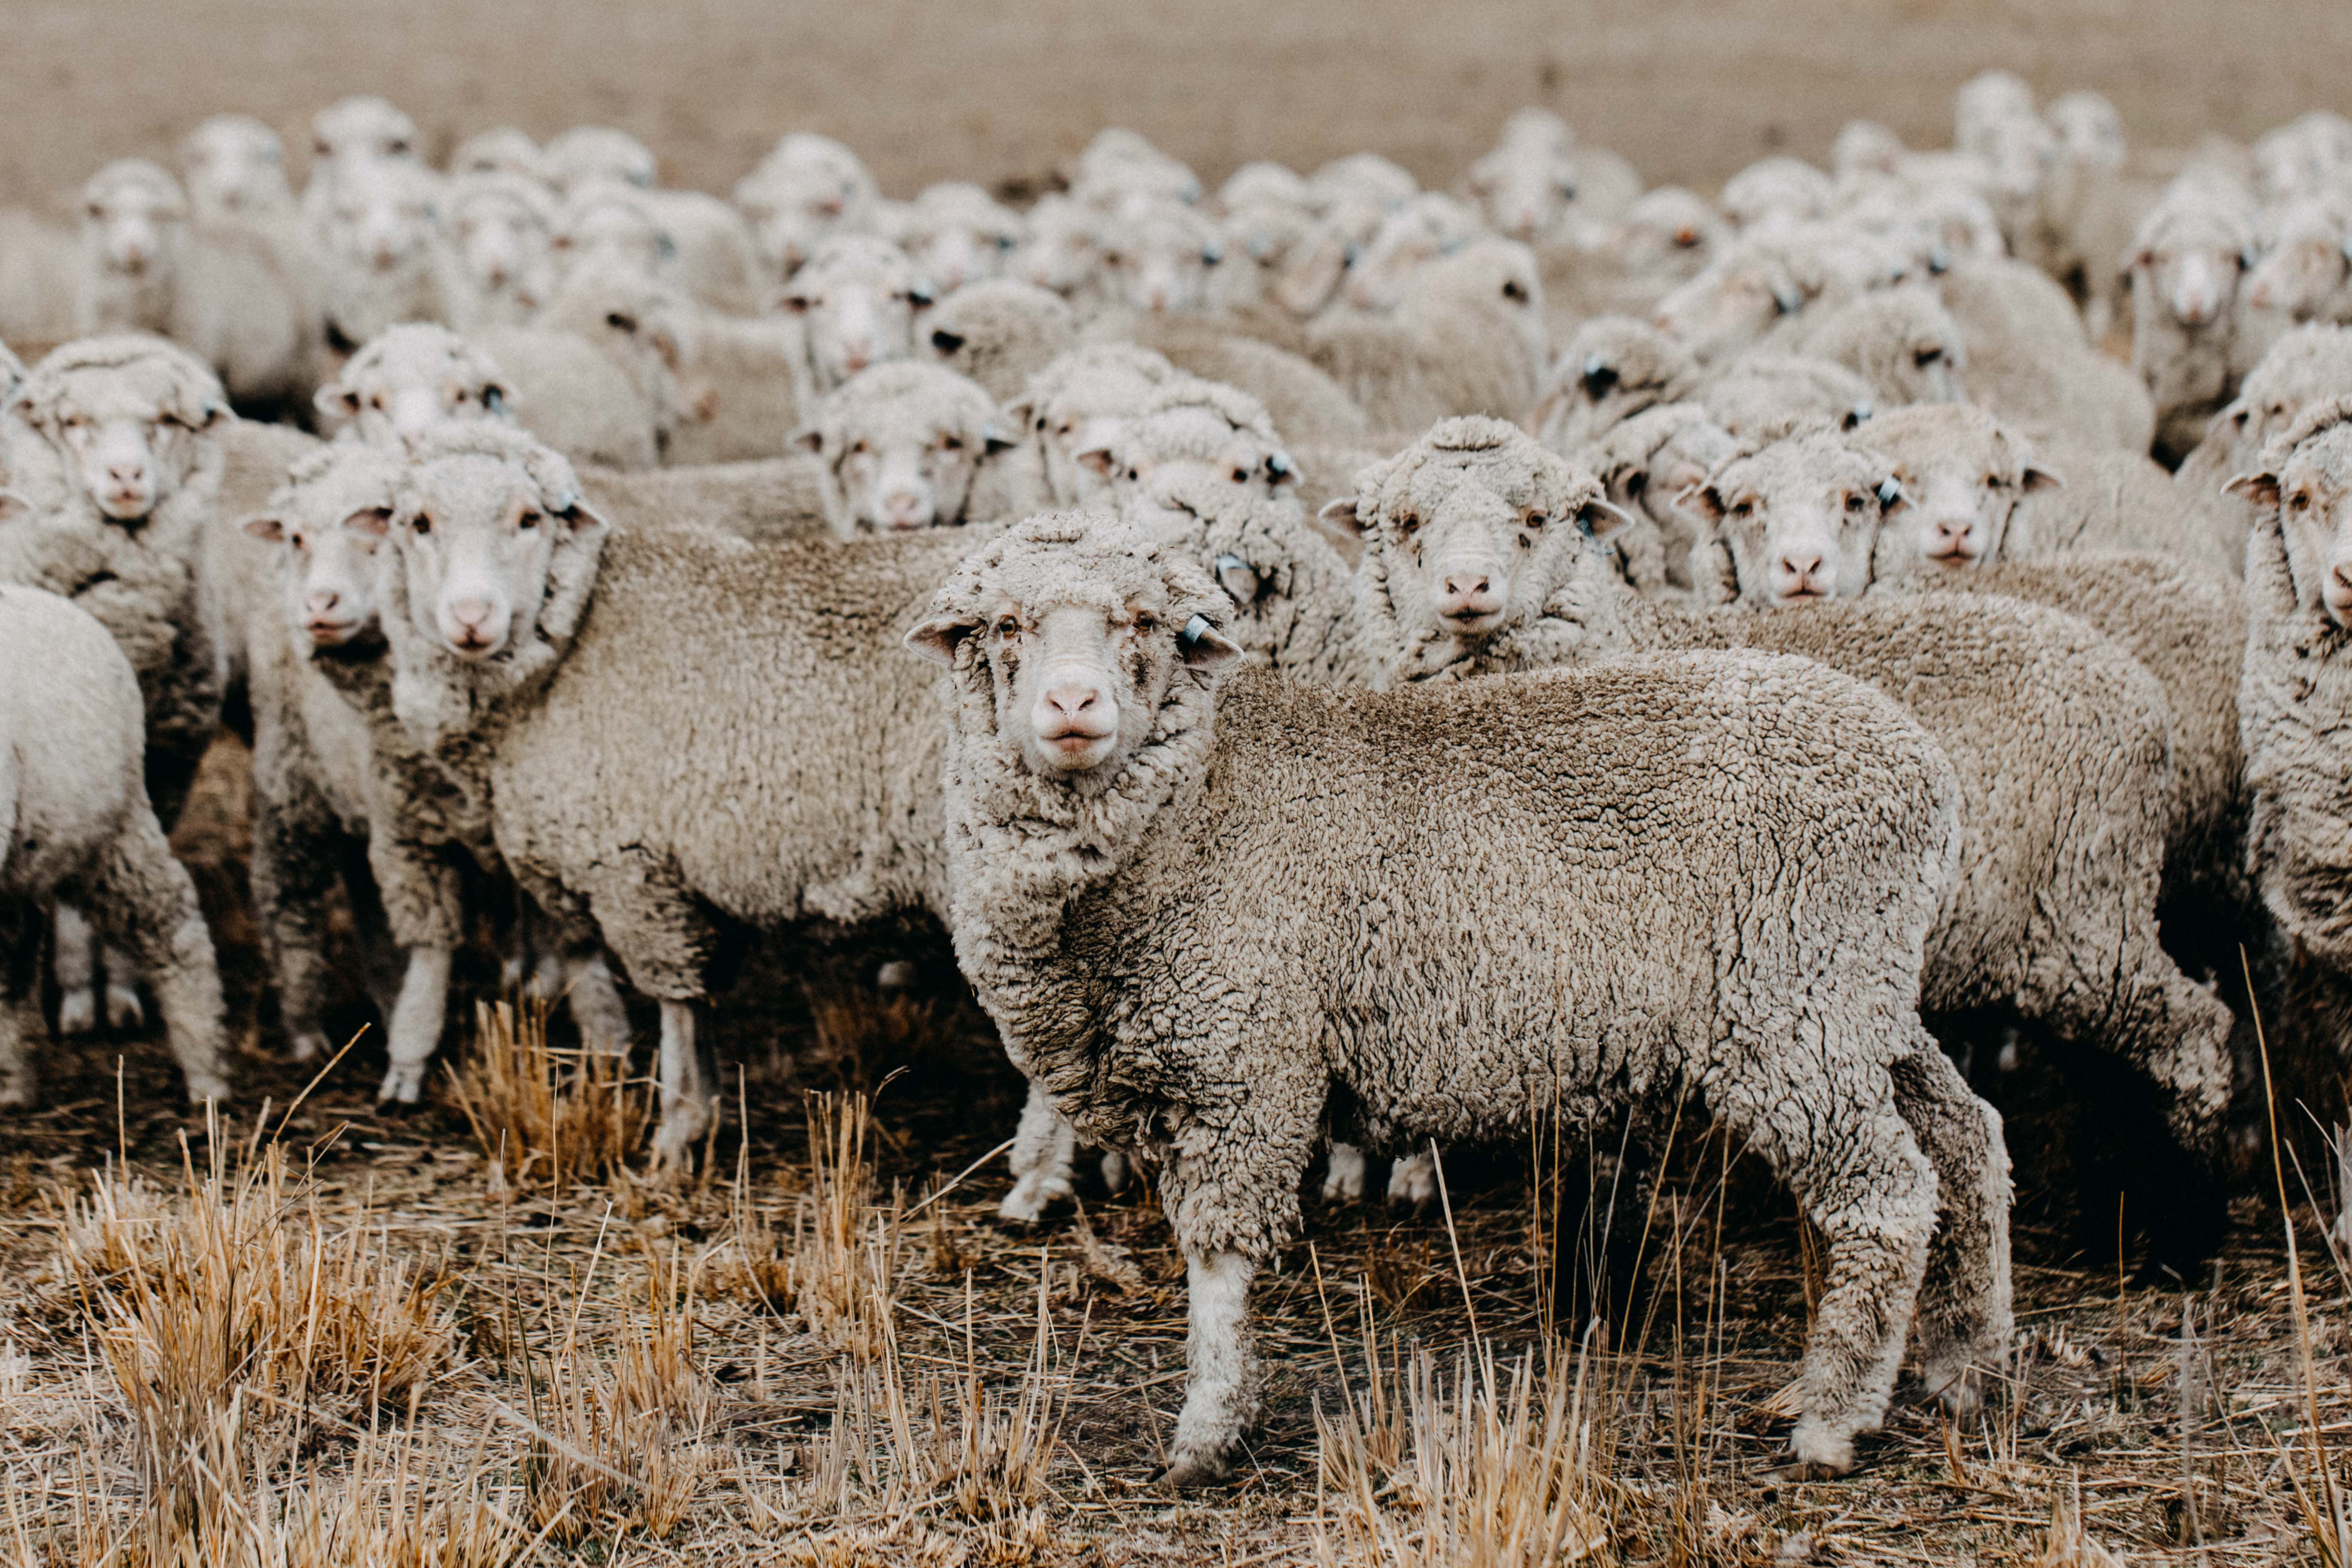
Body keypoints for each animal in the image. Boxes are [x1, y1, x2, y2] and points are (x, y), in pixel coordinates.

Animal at [908, 511, 2000, 1484]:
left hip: (1791, 1004)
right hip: (1852, 992)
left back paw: (1834, 1415)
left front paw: (1209, 1429)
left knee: (1887, 1196)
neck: (1196, 801)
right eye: (1003, 627)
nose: (1073, 705)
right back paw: (1960, 1363)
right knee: (1965, 1136)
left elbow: (1218, 1253)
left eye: (1142, 622)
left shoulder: (1246, 1061)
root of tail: (1927, 771)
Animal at [1334, 418, 2236, 1267]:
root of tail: (2129, 681)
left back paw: (2186, 1235)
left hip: (2085, 907)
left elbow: (1609, 1171)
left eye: (1534, 519)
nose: (1466, 587)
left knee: (2189, 1035)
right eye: (1405, 521)